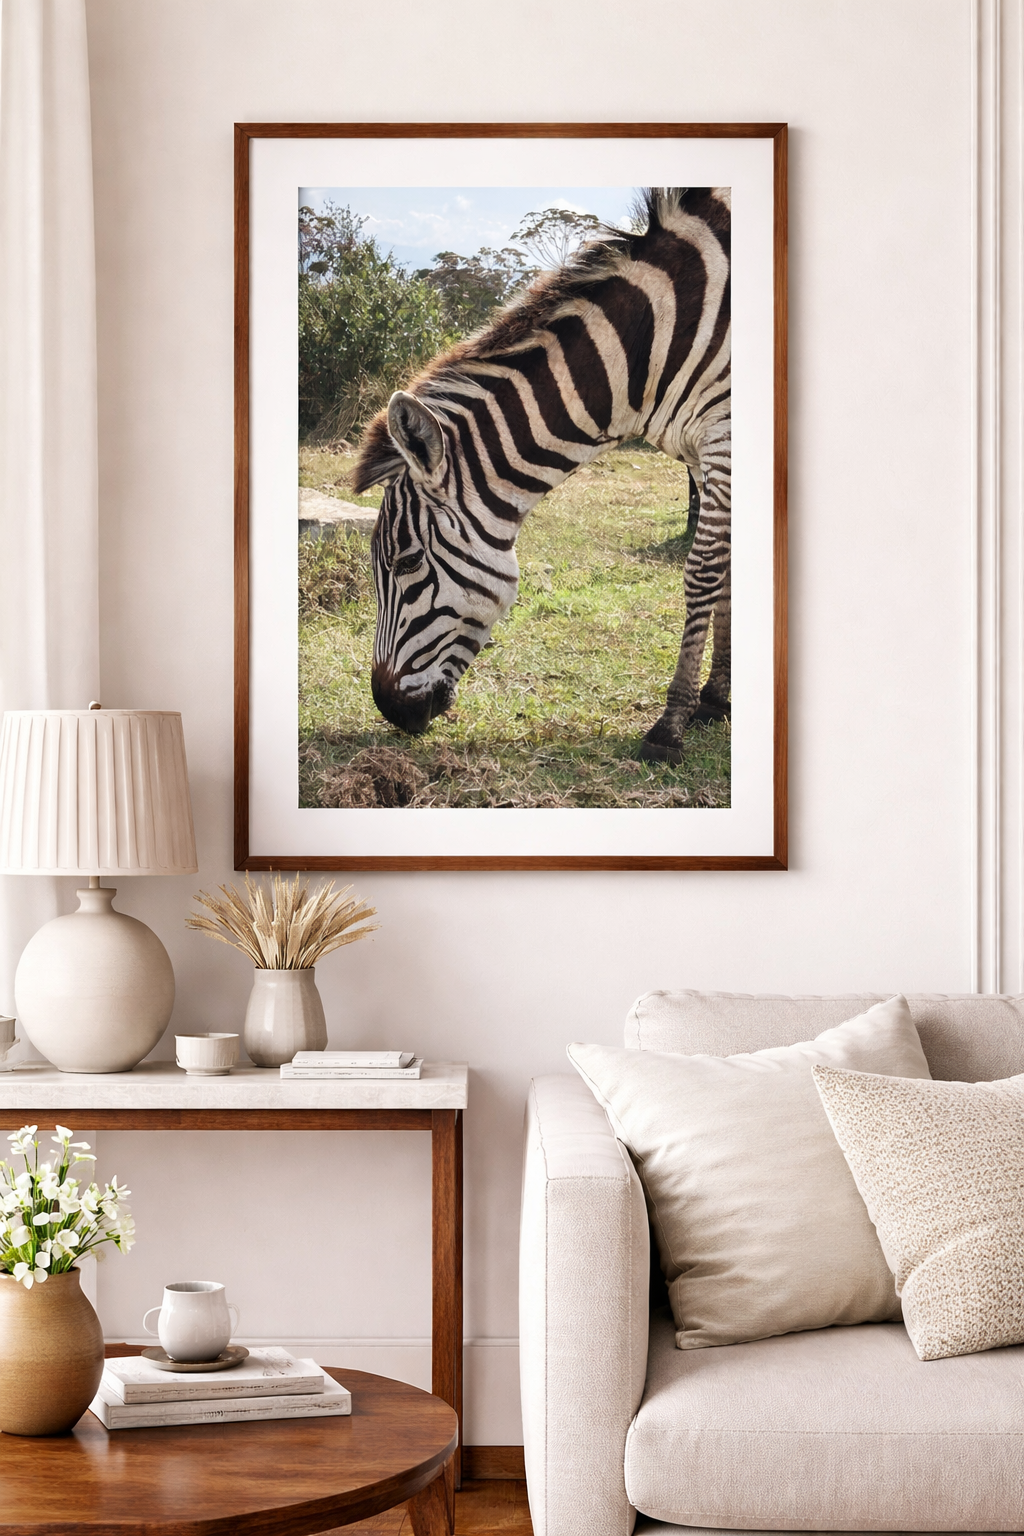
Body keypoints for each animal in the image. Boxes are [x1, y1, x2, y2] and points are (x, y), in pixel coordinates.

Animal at [351, 186, 731, 764]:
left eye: (407, 562)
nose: (390, 709)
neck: (652, 344)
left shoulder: (723, 435)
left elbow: (705, 572)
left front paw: (670, 726)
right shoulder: (701, 451)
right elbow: (727, 571)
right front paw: (716, 699)